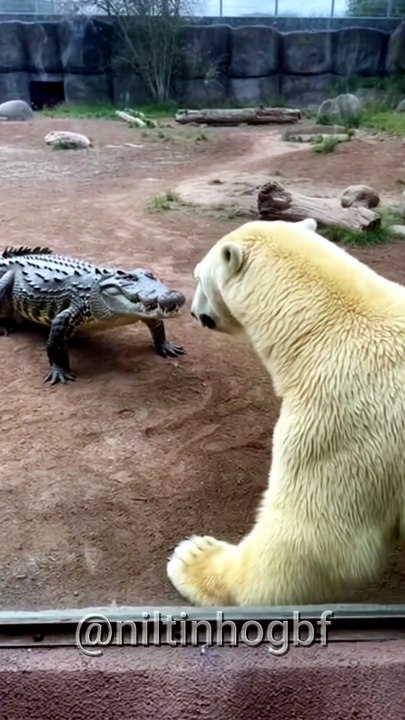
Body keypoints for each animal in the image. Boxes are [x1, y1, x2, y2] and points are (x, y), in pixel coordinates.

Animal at [166, 217, 405, 606]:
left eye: (197, 275)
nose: (192, 311)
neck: (321, 329)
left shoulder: (343, 418)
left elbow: (312, 541)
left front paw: (193, 555)